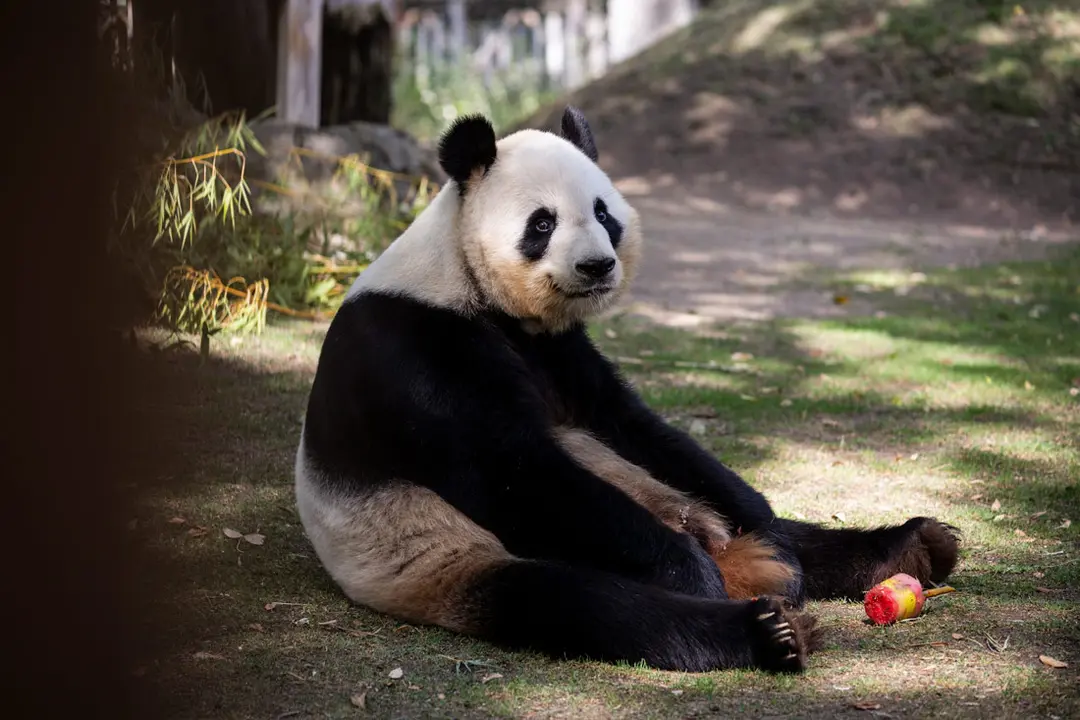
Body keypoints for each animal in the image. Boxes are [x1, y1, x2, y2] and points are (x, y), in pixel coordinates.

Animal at [294, 106, 960, 674]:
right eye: (542, 223)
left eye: (603, 213)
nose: (597, 266)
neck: (465, 281)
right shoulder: (419, 347)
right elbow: (510, 469)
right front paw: (693, 576)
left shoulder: (561, 352)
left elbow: (631, 425)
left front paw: (764, 527)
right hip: (435, 556)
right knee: (579, 602)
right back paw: (767, 630)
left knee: (784, 531)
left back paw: (909, 548)